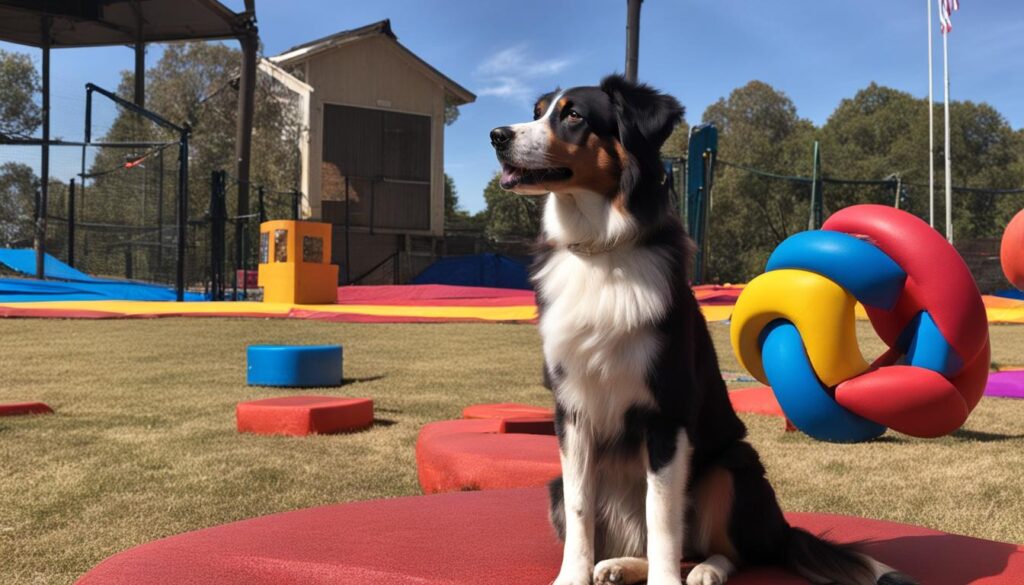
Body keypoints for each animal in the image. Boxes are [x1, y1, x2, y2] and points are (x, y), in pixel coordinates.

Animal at [487, 74, 913, 585]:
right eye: (537, 112)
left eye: (573, 115)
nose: (497, 136)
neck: (603, 249)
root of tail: (780, 530)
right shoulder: (571, 412)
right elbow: (579, 508)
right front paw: (572, 576)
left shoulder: (666, 414)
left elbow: (662, 515)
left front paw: (666, 582)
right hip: (557, 483)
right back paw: (618, 565)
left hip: (733, 464)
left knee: (727, 549)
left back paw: (707, 570)